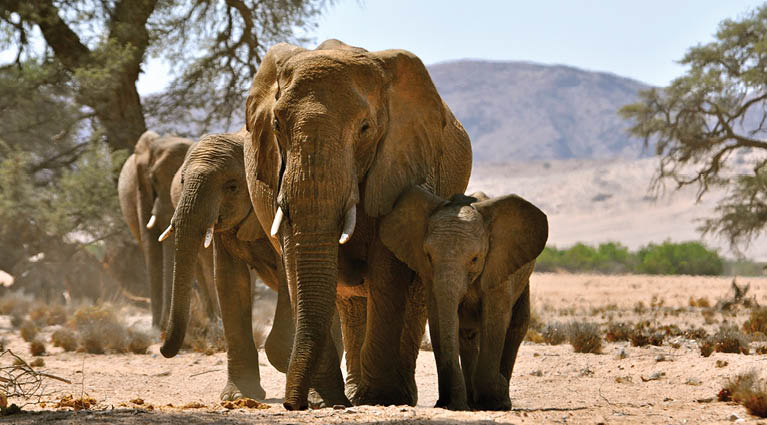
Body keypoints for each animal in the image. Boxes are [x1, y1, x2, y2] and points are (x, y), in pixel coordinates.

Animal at [242, 39, 473, 409]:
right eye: (276, 125)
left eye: (365, 129)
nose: (292, 404)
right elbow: (295, 262)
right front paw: (326, 402)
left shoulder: (398, 158)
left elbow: (387, 268)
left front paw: (379, 398)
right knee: (348, 300)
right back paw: (348, 394)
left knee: (415, 292)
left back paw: (395, 395)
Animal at [380, 187, 548, 410]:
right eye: (428, 256)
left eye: (475, 259)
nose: (451, 403)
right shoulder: (430, 276)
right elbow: (439, 320)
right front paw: (451, 404)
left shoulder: (498, 265)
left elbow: (495, 320)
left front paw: (495, 400)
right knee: (467, 336)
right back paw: (473, 401)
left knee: (517, 325)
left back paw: (500, 398)